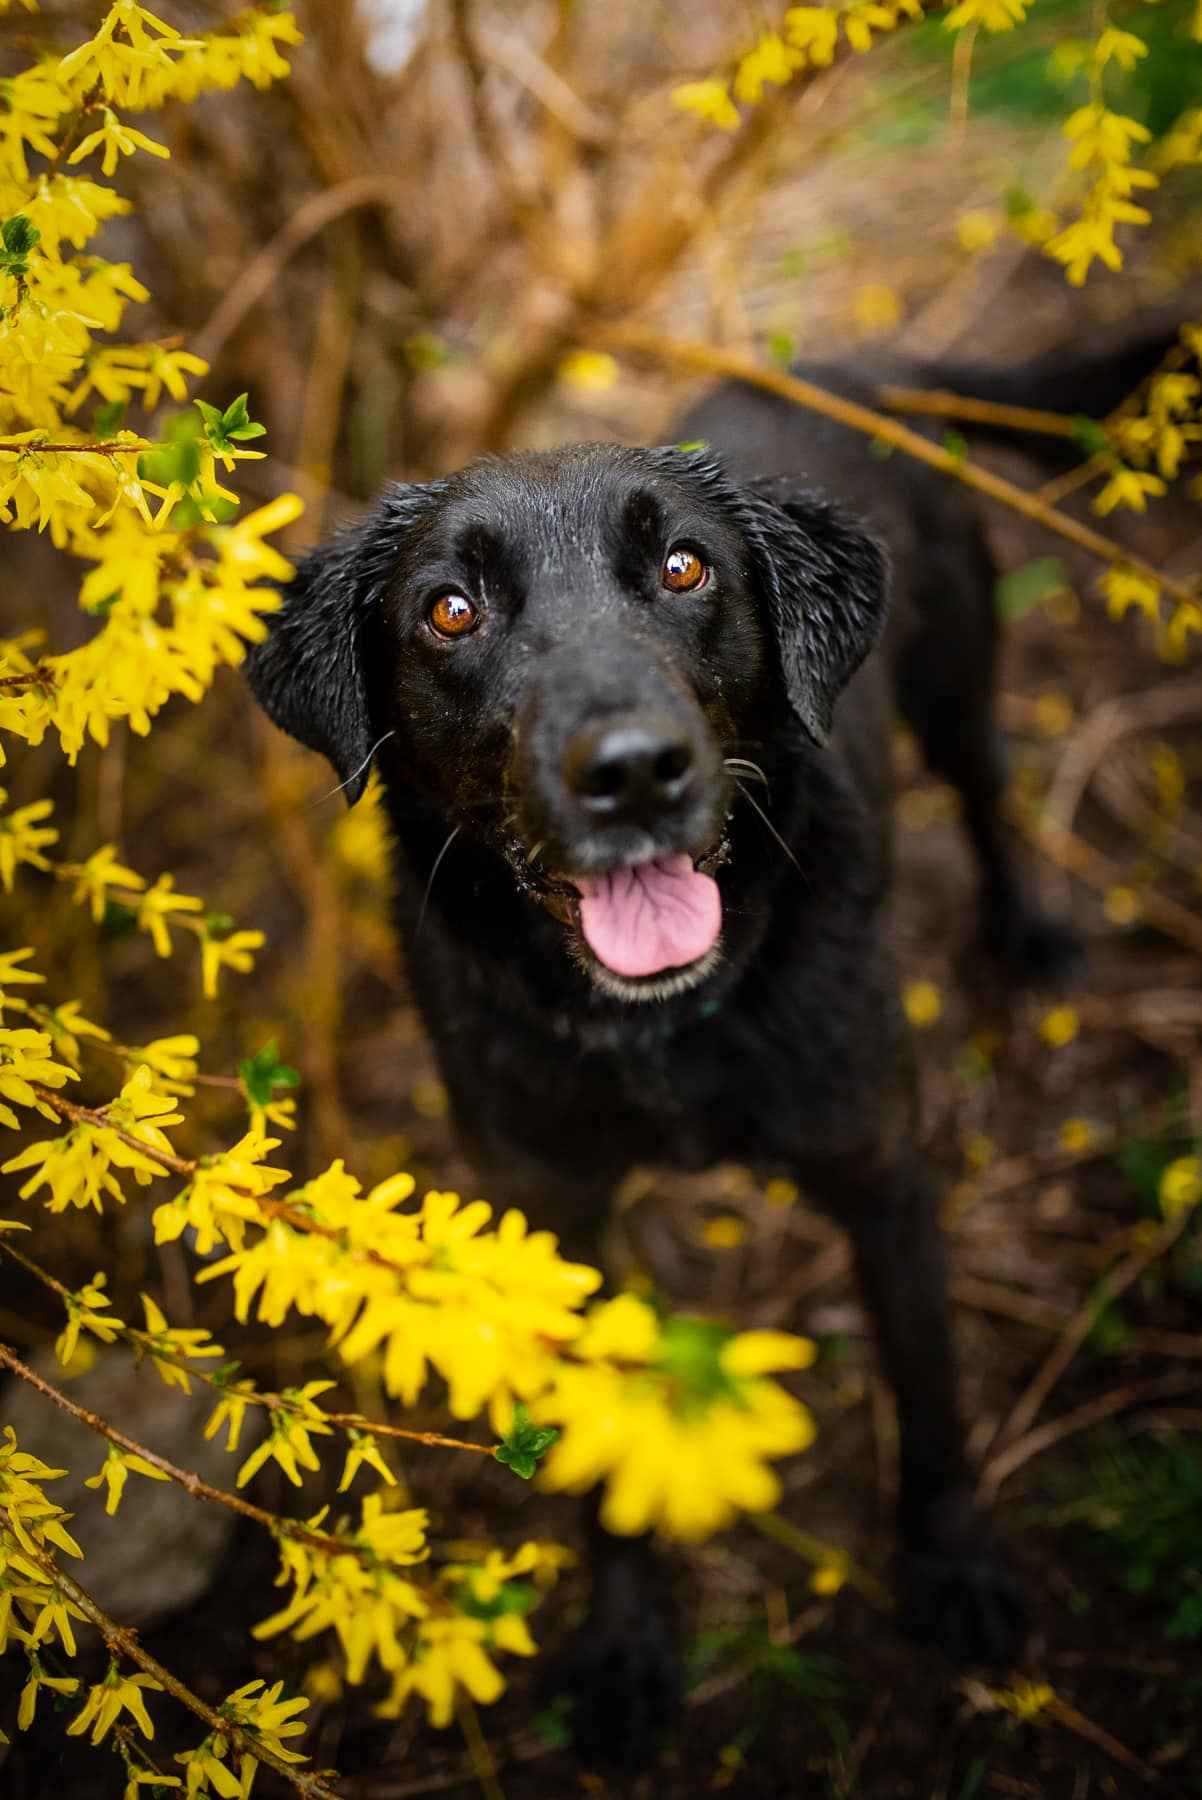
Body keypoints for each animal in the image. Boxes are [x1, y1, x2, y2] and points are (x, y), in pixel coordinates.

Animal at [246, 331, 1173, 1764]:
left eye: (682, 568)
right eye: (448, 610)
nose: (633, 769)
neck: (667, 1021)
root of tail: (861, 362)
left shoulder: (880, 1168)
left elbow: (929, 1392)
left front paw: (954, 1568)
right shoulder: (552, 1212)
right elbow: (591, 1449)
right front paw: (625, 1643)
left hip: (959, 668)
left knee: (986, 792)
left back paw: (1027, 930)